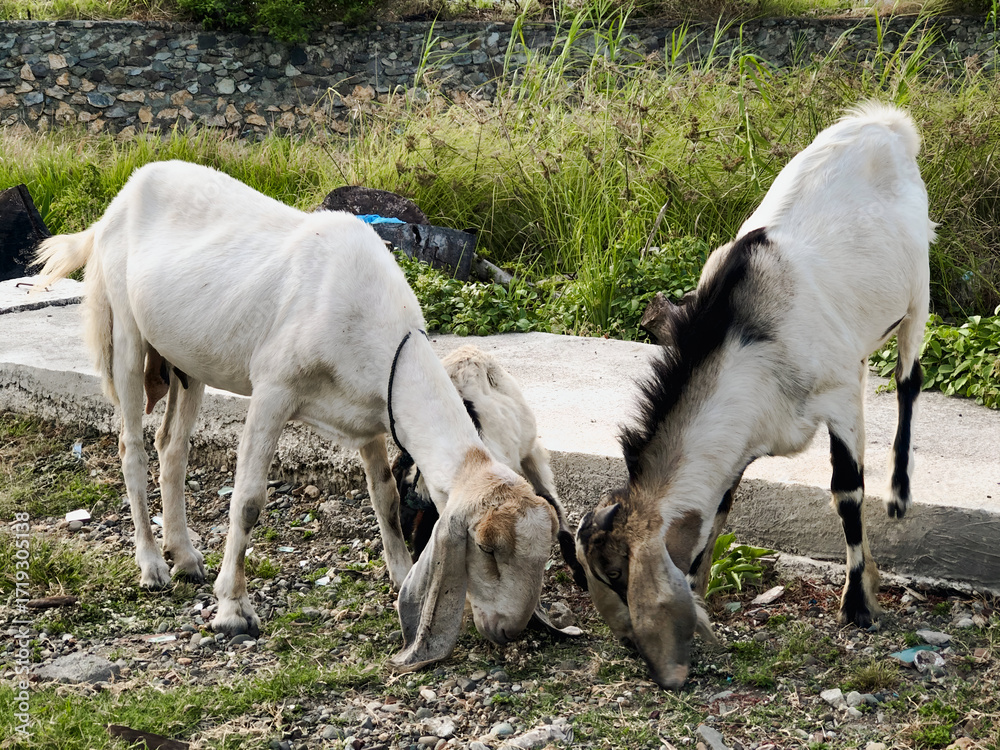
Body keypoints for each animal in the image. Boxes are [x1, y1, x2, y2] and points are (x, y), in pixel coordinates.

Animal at [33, 160, 564, 671]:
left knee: (172, 448)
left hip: (187, 361)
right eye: (488, 548)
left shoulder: (370, 416)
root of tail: (117, 201)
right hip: (124, 329)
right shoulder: (274, 390)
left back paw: (185, 556)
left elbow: (386, 498)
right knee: (132, 449)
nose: (510, 630)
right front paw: (232, 610)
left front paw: (398, 576)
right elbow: (248, 500)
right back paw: (152, 566)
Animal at [575, 102, 933, 689]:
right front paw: (701, 590)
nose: (629, 644)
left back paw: (899, 493)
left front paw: (859, 603)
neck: (745, 339)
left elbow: (846, 492)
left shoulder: (838, 397)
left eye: (615, 570)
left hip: (918, 287)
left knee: (908, 379)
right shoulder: (742, 435)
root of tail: (883, 123)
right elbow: (720, 506)